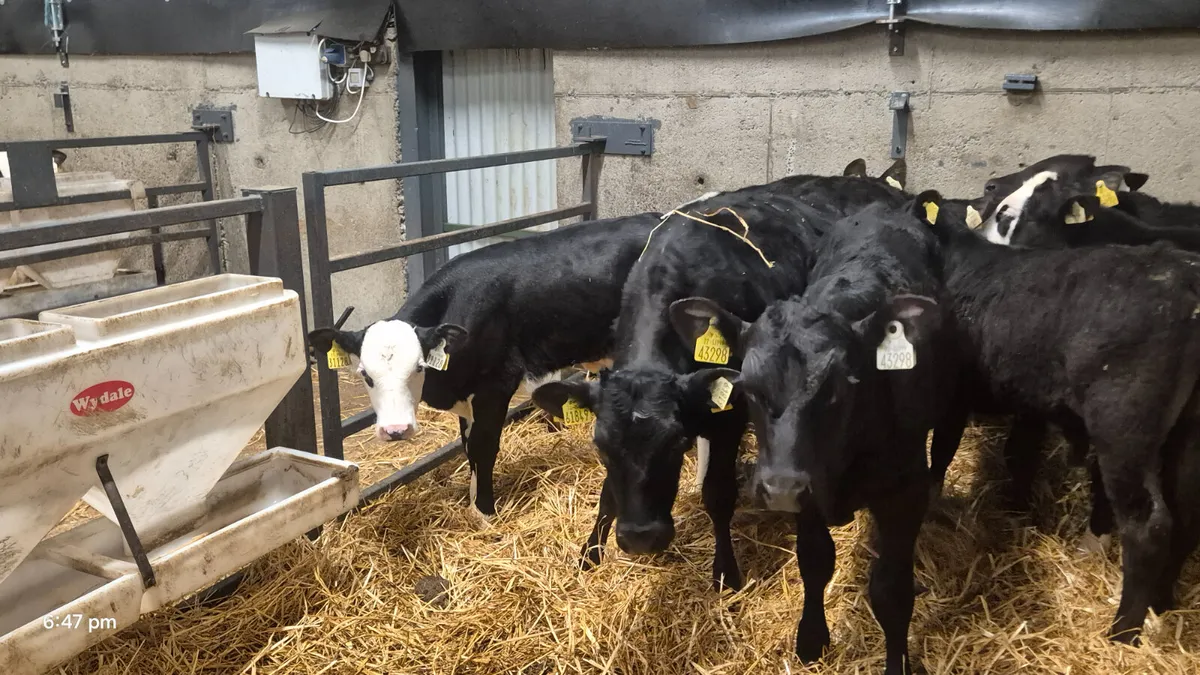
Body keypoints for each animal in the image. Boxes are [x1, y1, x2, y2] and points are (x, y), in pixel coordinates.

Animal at [307, 212, 663, 518]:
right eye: (365, 375)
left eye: (419, 367)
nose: (396, 430)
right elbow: (468, 447)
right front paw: (473, 501)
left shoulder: (495, 385)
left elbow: (483, 447)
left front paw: (485, 512)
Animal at [530, 172, 909, 591]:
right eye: (600, 446)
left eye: (677, 443)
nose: (642, 538)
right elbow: (608, 494)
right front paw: (590, 554)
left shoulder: (731, 414)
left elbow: (718, 493)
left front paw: (726, 571)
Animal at [667, 194, 953, 675]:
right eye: (749, 388)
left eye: (837, 387)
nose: (780, 487)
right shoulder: (809, 488)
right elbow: (815, 561)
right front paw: (811, 639)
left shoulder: (905, 491)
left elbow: (892, 592)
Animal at [922, 189, 1200, 645]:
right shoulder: (1028, 402)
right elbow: (1019, 455)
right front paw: (1016, 508)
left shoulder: (954, 397)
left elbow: (942, 453)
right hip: (1188, 427)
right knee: (1185, 508)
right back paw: (1161, 602)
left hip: (1125, 421)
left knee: (1149, 523)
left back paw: (1122, 633)